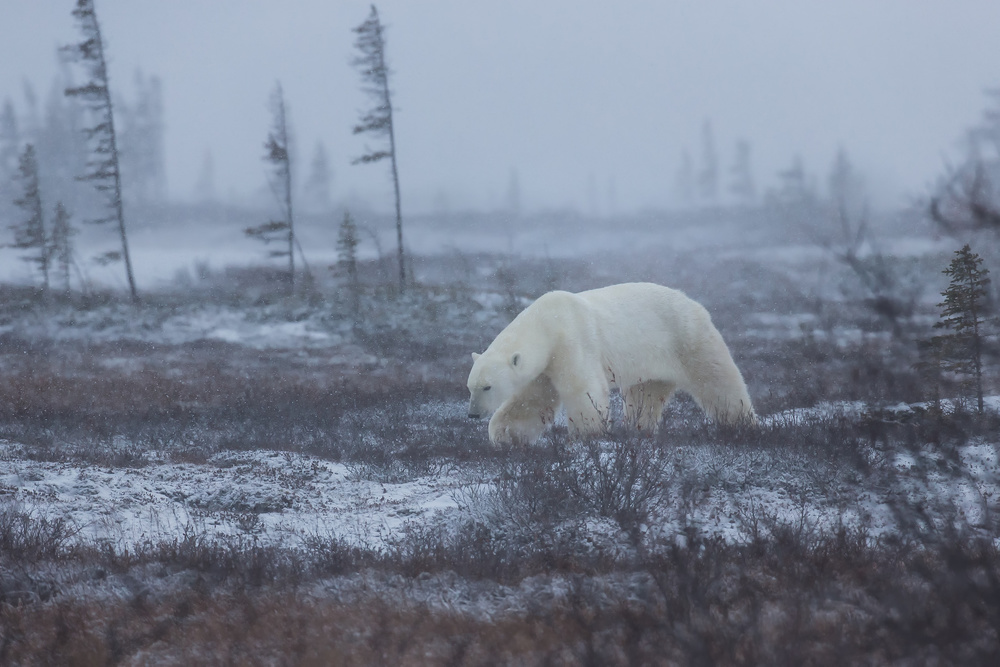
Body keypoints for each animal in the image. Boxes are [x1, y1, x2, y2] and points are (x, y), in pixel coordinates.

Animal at [464, 282, 752, 444]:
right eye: (470, 387)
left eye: (487, 387)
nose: (473, 414)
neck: (547, 323)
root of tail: (693, 303)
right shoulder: (544, 366)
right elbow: (530, 399)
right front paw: (504, 435)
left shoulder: (572, 342)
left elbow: (583, 389)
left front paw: (587, 435)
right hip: (650, 365)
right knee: (644, 396)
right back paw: (639, 430)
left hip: (687, 338)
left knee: (718, 380)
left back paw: (742, 423)